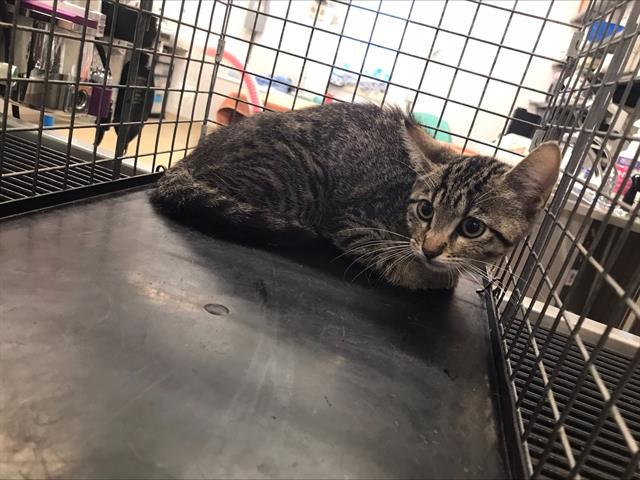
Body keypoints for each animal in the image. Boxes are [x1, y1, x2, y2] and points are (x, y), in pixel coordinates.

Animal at [151, 103, 560, 290]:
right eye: (426, 210)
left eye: (472, 227)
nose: (430, 248)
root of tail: (190, 157)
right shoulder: (349, 221)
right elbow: (401, 266)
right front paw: (423, 272)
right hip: (295, 180)